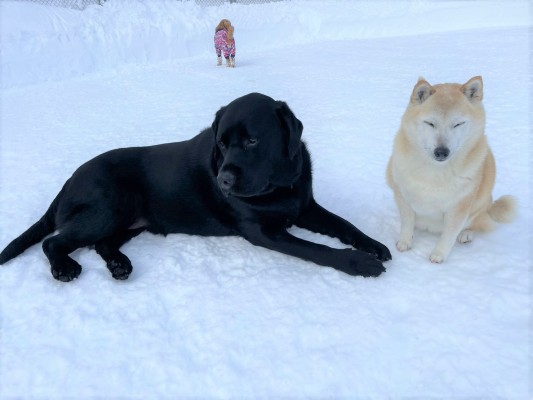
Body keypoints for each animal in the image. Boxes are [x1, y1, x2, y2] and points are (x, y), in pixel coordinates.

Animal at [1, 93, 390, 282]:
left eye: (252, 141)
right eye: (222, 143)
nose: (224, 180)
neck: (279, 185)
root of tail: (68, 180)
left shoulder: (305, 207)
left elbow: (345, 225)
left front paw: (374, 245)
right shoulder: (264, 232)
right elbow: (318, 250)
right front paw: (360, 263)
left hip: (130, 219)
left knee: (102, 243)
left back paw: (120, 265)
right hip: (111, 206)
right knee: (54, 242)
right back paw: (64, 268)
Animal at [386, 76, 516, 264]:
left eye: (458, 124)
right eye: (430, 123)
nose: (441, 151)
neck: (435, 172)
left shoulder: (460, 207)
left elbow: (449, 235)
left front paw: (439, 254)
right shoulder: (403, 196)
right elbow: (407, 223)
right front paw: (405, 242)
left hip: (480, 204)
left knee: (477, 223)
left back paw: (466, 234)